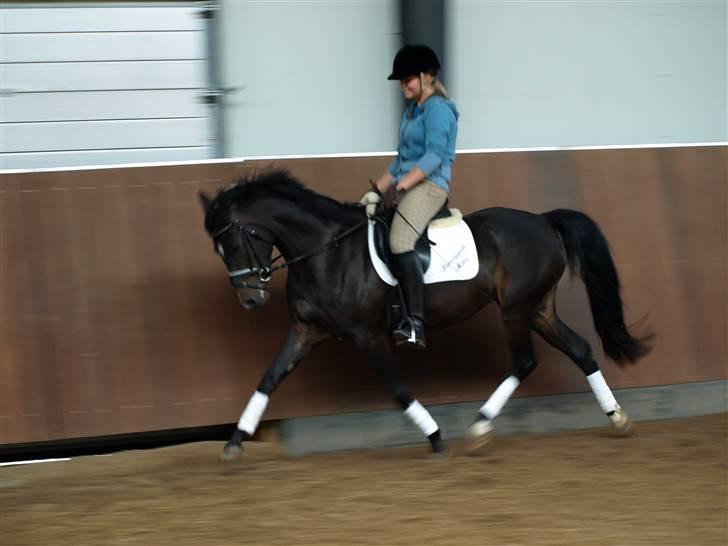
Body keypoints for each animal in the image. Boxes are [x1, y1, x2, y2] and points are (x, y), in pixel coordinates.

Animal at [196, 170, 652, 460]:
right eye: (219, 249)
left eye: (232, 244)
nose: (250, 301)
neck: (327, 250)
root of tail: (542, 221)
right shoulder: (305, 330)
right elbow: (269, 378)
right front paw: (235, 441)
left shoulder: (368, 336)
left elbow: (398, 389)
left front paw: (435, 437)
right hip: (538, 309)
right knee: (580, 349)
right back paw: (618, 418)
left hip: (516, 309)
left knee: (524, 361)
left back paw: (479, 428)